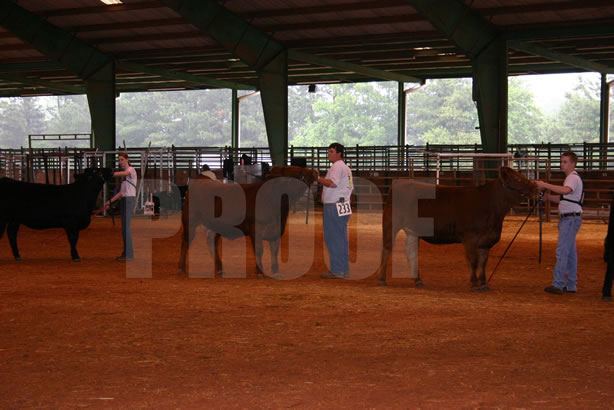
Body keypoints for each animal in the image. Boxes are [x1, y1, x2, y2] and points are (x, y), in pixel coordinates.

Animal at [178, 165, 318, 277]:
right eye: (296, 171)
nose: (315, 171)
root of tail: (202, 179)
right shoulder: (256, 228)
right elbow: (259, 250)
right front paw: (260, 272)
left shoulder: (277, 230)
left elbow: (274, 251)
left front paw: (276, 271)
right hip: (189, 221)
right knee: (186, 242)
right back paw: (182, 268)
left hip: (214, 226)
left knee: (211, 242)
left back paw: (219, 269)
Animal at [377, 166, 536, 290]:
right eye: (517, 179)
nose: (536, 188)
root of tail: (399, 183)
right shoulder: (470, 238)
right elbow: (473, 261)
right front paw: (474, 283)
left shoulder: (486, 241)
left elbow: (483, 262)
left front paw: (483, 283)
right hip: (391, 224)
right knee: (387, 248)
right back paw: (382, 279)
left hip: (413, 231)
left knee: (411, 252)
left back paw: (418, 280)